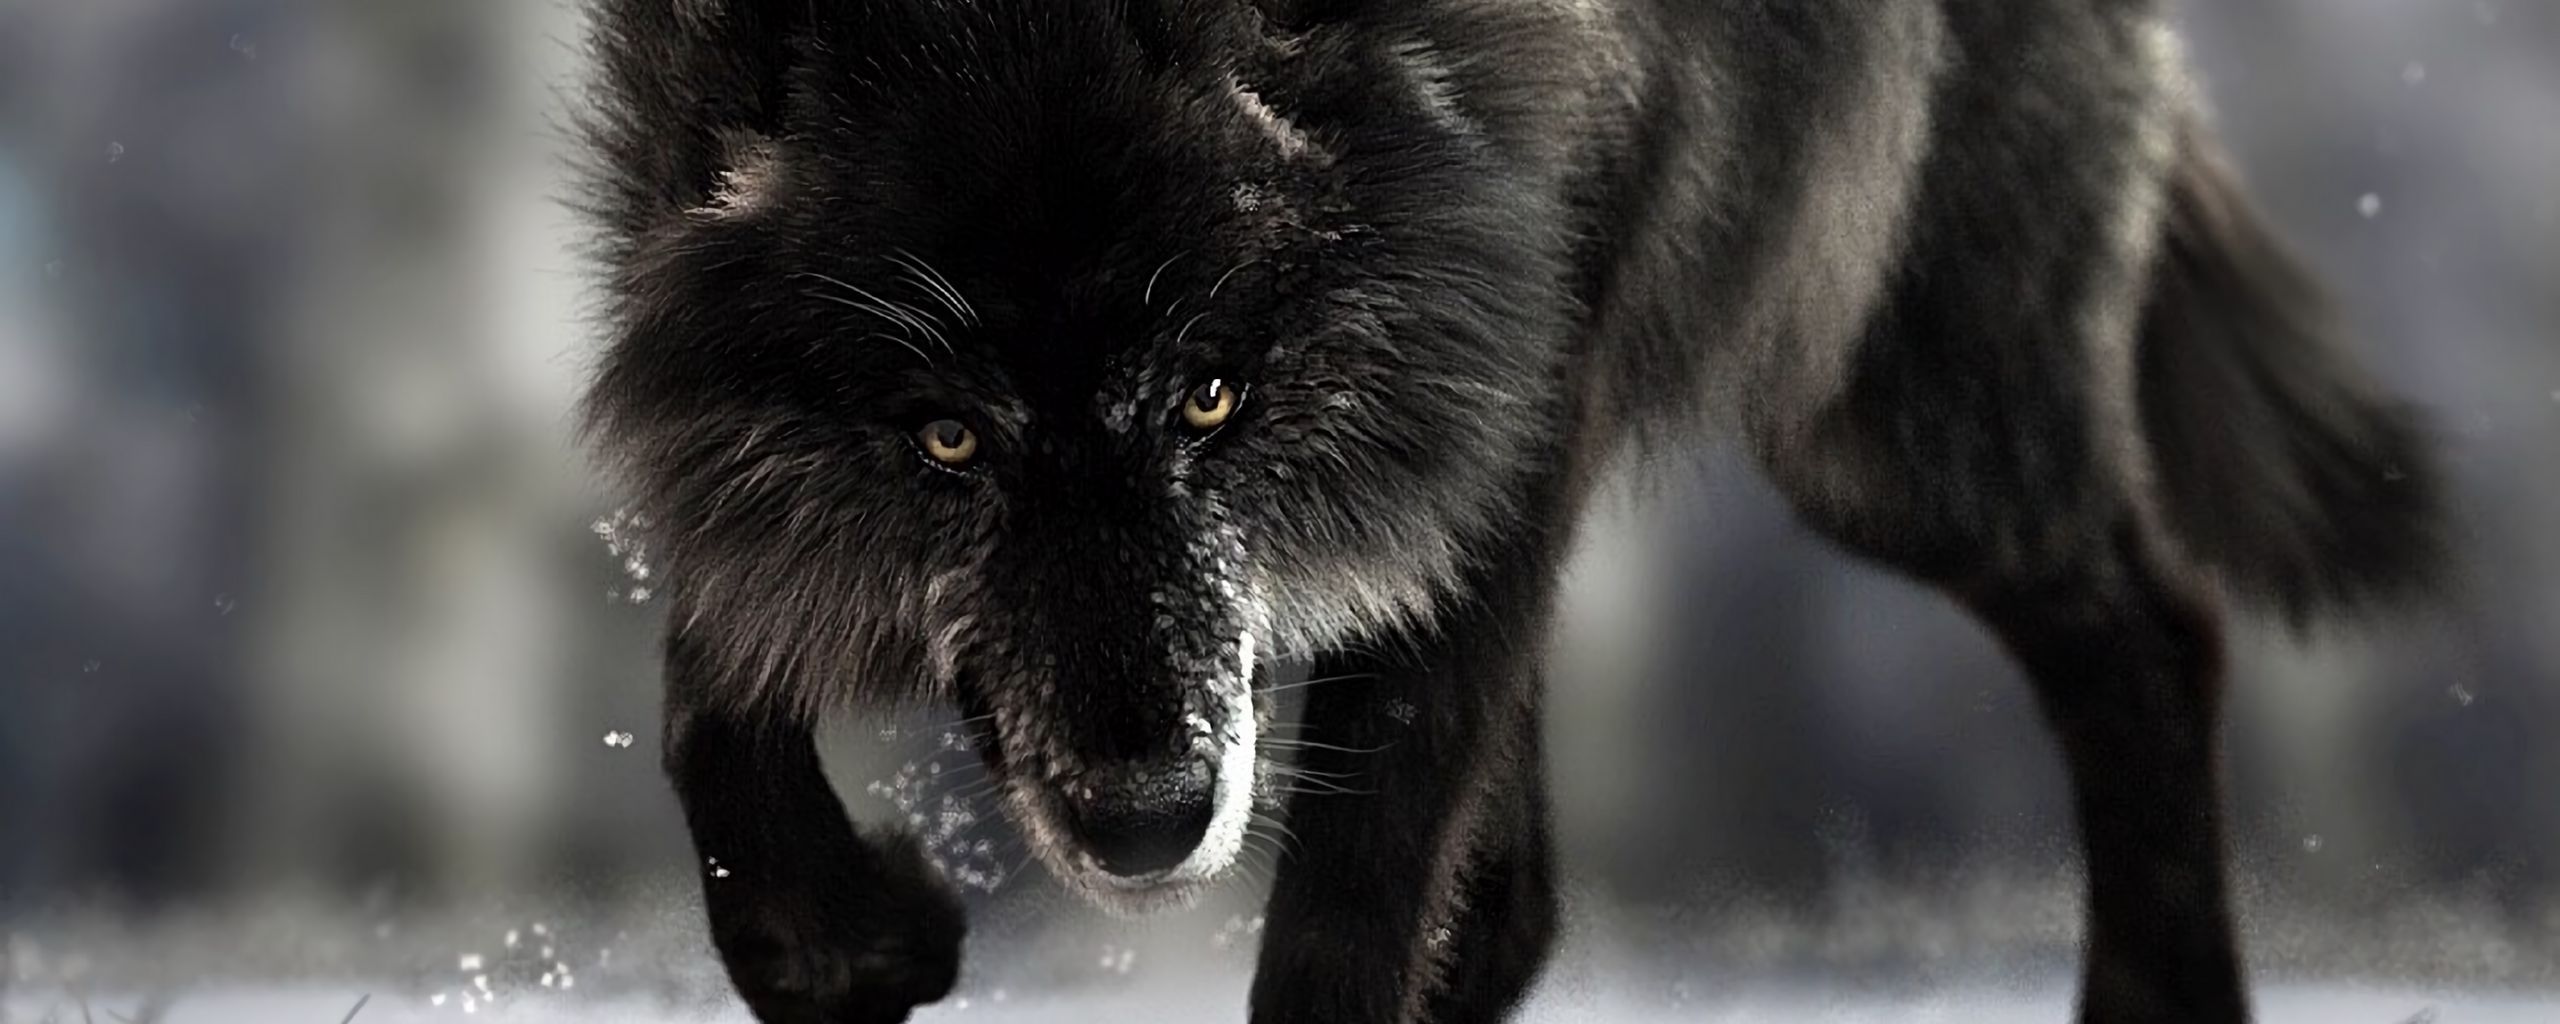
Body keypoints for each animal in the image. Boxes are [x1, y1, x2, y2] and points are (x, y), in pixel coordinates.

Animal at [573, 1, 2444, 1021]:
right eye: (951, 440)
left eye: (1212, 395)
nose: (1147, 821)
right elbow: (711, 695)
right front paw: (846, 938)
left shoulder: (1510, 383)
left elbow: (1356, 895)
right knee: (1524, 892)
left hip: (1889, 425)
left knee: (2156, 629)